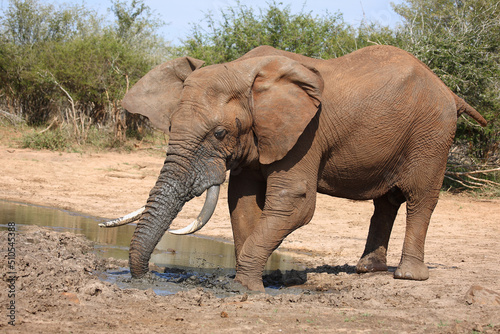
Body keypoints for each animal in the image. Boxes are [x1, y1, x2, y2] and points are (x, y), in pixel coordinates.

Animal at [99, 45, 486, 292]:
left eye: (219, 133)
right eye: (169, 126)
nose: (146, 279)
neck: (243, 71)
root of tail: (450, 92)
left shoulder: (305, 134)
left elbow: (296, 203)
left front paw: (244, 288)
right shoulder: (260, 135)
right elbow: (242, 201)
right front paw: (245, 283)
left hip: (433, 134)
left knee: (420, 199)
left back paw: (407, 277)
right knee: (386, 203)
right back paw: (367, 271)